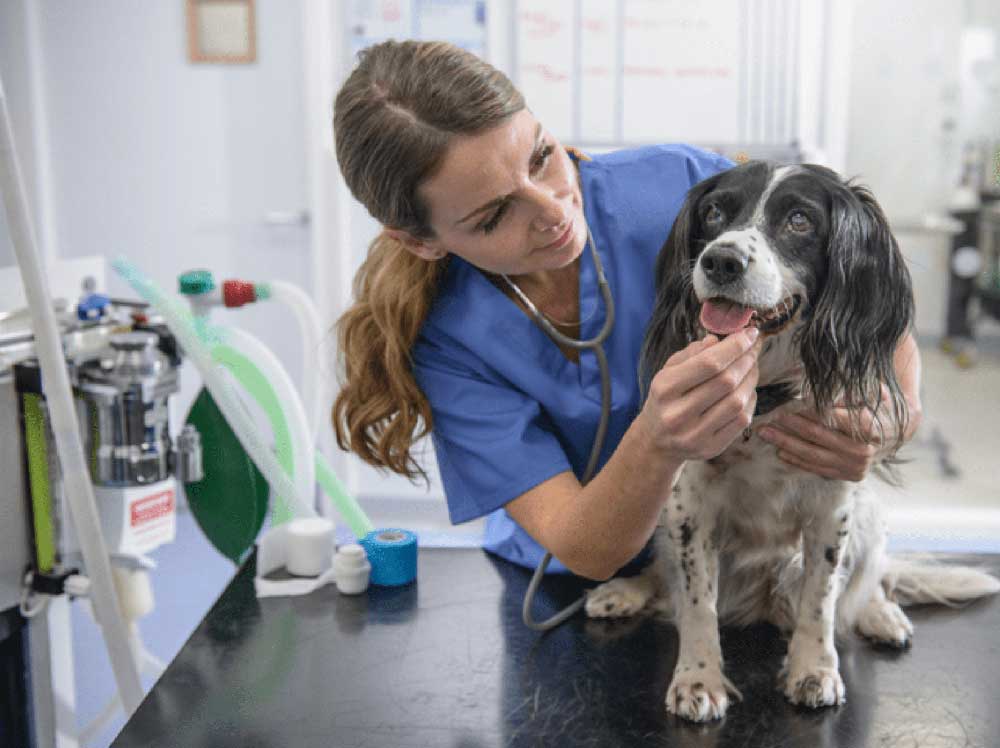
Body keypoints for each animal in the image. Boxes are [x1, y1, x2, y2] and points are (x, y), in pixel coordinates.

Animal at [584, 164, 1000, 724]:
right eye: (714, 212)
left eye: (800, 220)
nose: (720, 260)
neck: (766, 393)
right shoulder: (690, 505)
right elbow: (696, 603)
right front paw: (698, 678)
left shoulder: (833, 506)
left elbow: (819, 602)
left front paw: (813, 670)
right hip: (663, 517)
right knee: (664, 580)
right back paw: (625, 592)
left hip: (868, 513)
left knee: (870, 581)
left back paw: (881, 615)